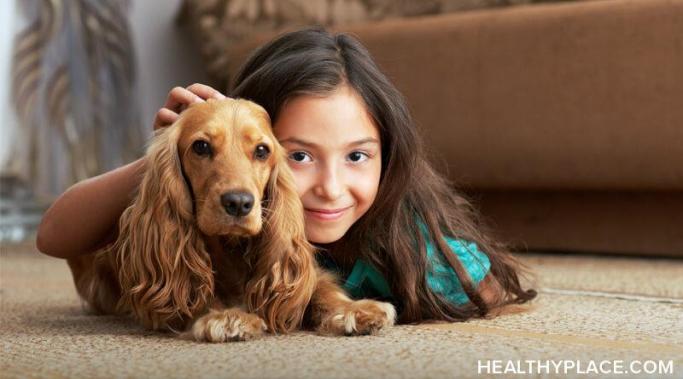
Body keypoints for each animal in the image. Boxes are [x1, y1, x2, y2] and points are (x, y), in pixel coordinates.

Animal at [65, 97, 396, 342]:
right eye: (201, 146)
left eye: (262, 150)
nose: (238, 203)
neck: (232, 248)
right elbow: (195, 289)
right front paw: (228, 317)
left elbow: (321, 288)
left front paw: (355, 310)